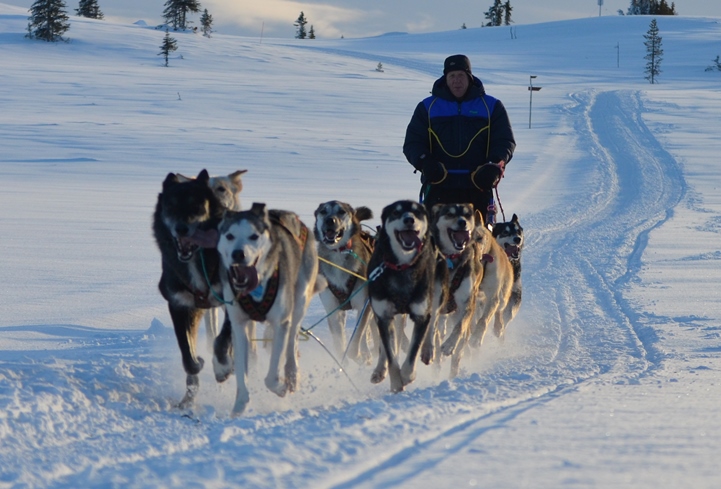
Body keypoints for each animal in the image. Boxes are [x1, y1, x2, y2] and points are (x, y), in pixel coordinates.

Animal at [152, 169, 226, 408]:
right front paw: (198, 362)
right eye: (171, 206)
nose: (181, 228)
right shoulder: (180, 305)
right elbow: (187, 356)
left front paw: (221, 366)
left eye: (197, 206)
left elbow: (223, 342)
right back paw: (187, 400)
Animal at [212, 203, 318, 416]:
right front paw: (239, 408)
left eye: (253, 236)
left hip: (300, 301)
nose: (238, 253)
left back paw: (292, 375)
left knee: (292, 341)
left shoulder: (280, 322)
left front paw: (281, 387)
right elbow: (241, 374)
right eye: (230, 236)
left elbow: (271, 376)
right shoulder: (238, 325)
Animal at [313, 200, 377, 363]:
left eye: (341, 211)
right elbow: (339, 342)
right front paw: (343, 361)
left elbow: (358, 334)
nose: (330, 220)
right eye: (323, 211)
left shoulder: (363, 305)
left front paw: (357, 355)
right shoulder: (333, 310)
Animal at [367, 200, 447, 392]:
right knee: (387, 344)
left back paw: (428, 350)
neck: (401, 267)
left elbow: (412, 353)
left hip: (437, 292)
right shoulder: (383, 316)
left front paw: (407, 376)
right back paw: (379, 370)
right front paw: (396, 383)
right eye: (396, 213)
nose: (409, 219)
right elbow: (391, 356)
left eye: (417, 212)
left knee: (433, 323)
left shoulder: (421, 315)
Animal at [424, 203, 484, 378]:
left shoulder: (467, 303)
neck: (451, 259)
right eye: (450, 214)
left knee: (458, 352)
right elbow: (431, 332)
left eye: (467, 214)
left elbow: (459, 327)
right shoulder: (435, 303)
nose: (462, 222)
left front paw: (449, 345)